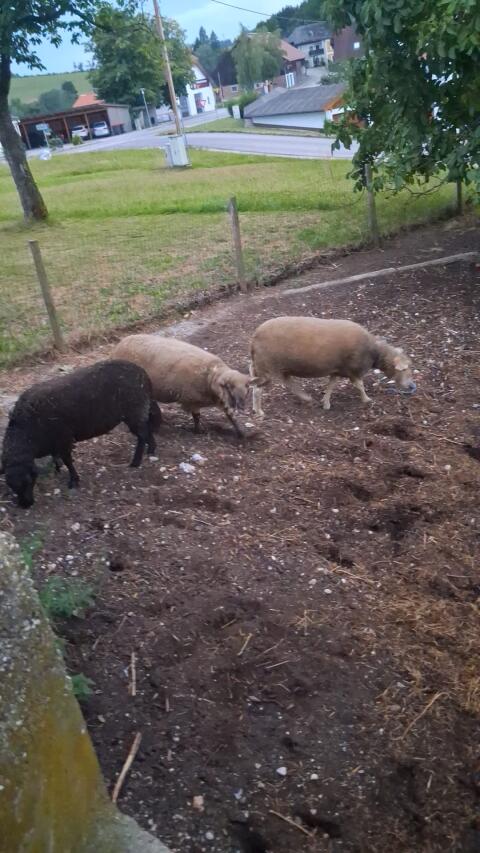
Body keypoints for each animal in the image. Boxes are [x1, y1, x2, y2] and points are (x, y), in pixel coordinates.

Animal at [1, 360, 161, 509]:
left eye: (29, 481)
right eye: (10, 485)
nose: (25, 505)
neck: (26, 431)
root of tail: (142, 373)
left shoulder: (64, 439)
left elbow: (68, 461)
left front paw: (73, 480)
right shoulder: (54, 441)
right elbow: (56, 457)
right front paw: (58, 469)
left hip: (134, 412)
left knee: (142, 435)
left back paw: (137, 460)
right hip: (137, 412)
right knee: (146, 431)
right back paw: (150, 450)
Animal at [112, 334, 252, 437]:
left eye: (247, 388)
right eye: (229, 387)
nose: (241, 406)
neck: (211, 376)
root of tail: (119, 345)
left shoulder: (221, 400)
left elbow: (231, 416)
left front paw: (242, 433)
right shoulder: (191, 400)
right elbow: (196, 417)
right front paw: (198, 431)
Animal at [249, 316, 416, 417]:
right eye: (404, 369)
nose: (411, 386)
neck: (374, 352)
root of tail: (255, 335)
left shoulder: (338, 369)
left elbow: (331, 385)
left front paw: (326, 403)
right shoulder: (353, 370)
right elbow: (359, 385)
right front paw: (366, 399)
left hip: (277, 366)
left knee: (285, 382)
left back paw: (305, 397)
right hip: (267, 366)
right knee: (258, 389)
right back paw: (259, 411)